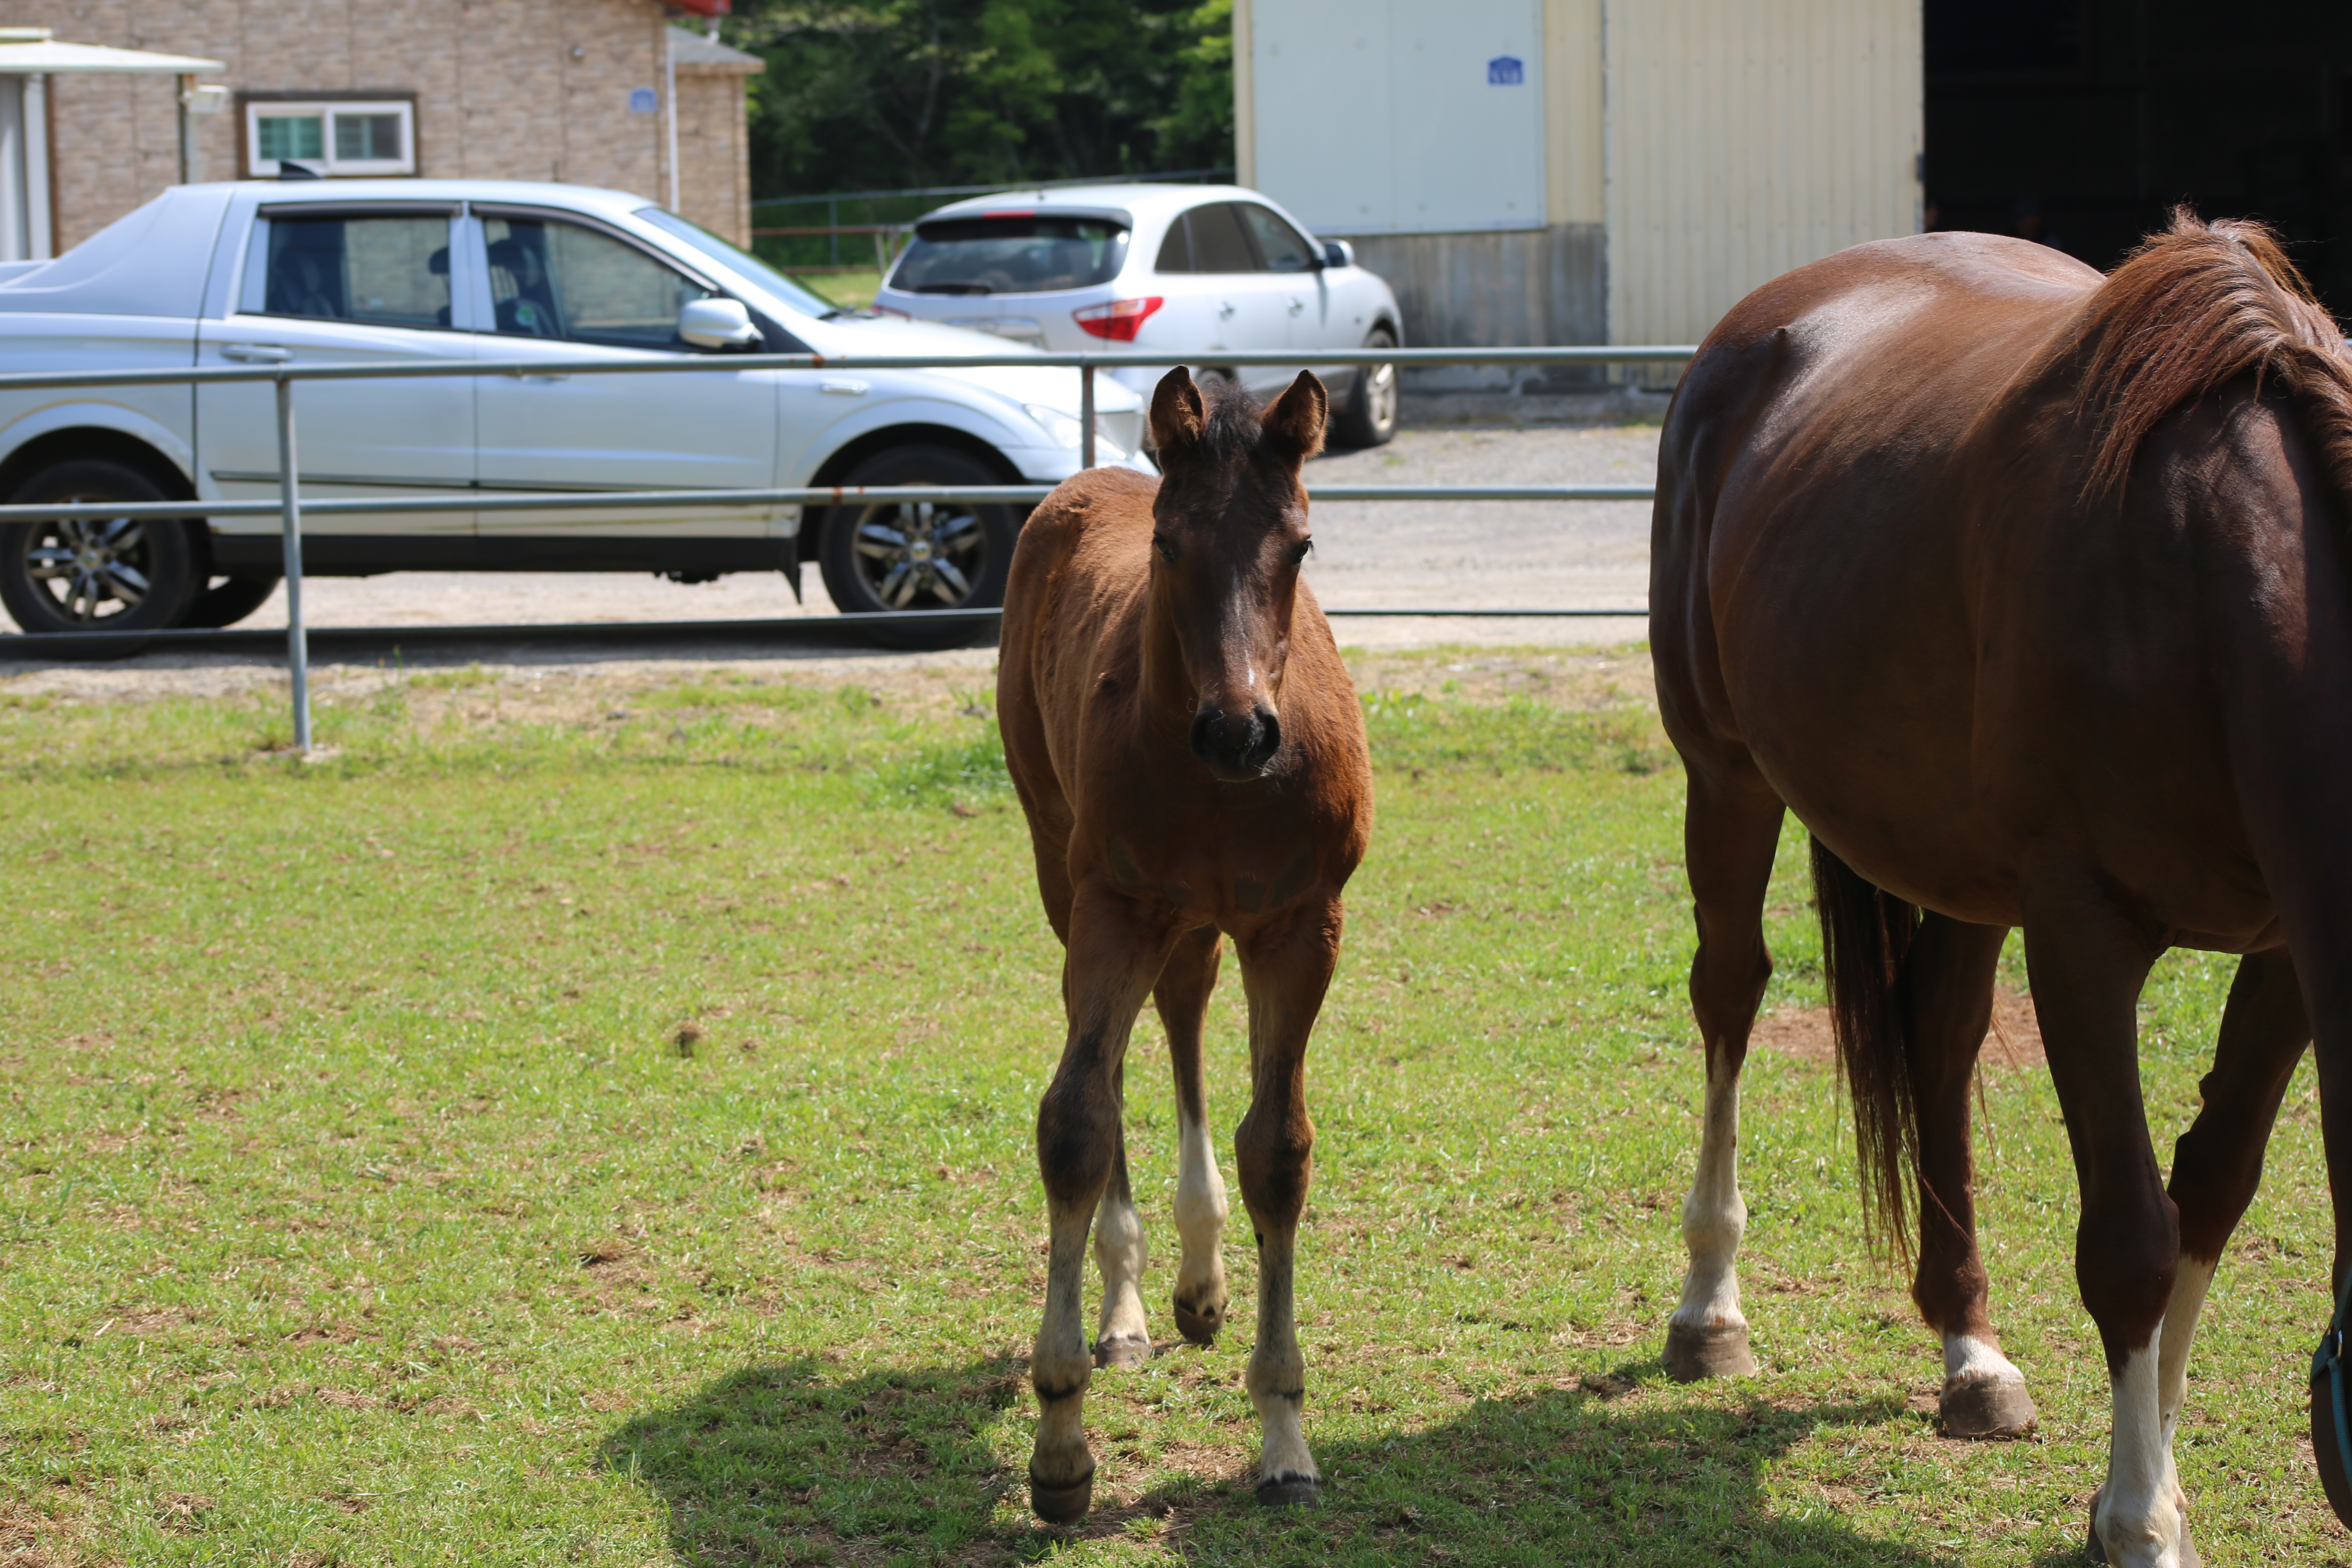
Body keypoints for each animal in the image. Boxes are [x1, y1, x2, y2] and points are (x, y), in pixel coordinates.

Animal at [997, 364, 1373, 1523]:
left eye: (1300, 543)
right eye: (1167, 544)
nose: (1238, 731)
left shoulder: (1301, 924)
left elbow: (1277, 1149)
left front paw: (1284, 1436)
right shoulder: (1115, 905)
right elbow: (1077, 1120)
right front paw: (1061, 1442)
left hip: (1201, 918)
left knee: (1185, 1012)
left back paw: (1201, 1284)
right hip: (1067, 875)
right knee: (1125, 1056)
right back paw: (1127, 1309)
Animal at [1656, 212, 2352, 1568]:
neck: (2208, 575)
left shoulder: (2287, 954)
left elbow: (2211, 1190)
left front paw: (2141, 1486)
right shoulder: (2083, 931)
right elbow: (2132, 1237)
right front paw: (2140, 1518)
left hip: (1963, 869)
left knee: (1938, 1033)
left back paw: (1970, 1350)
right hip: (1728, 779)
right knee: (1729, 997)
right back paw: (1710, 1306)